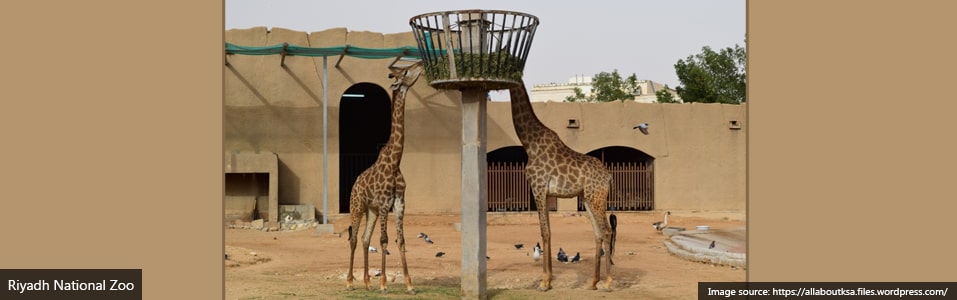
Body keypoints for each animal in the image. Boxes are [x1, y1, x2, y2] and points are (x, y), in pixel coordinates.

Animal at [342, 60, 420, 296]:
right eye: (406, 71)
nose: (421, 64)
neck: (395, 162)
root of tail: (355, 184)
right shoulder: (386, 204)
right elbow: (384, 240)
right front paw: (384, 284)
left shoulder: (399, 203)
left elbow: (400, 240)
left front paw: (409, 285)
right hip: (357, 206)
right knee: (354, 238)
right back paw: (350, 282)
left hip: (371, 211)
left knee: (365, 238)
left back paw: (367, 282)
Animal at [508, 79, 620, 290]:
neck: (530, 143)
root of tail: (608, 176)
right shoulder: (545, 192)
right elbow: (549, 232)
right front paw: (549, 279)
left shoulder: (538, 187)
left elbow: (544, 232)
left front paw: (544, 281)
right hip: (588, 198)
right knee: (598, 233)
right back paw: (593, 282)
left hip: (596, 197)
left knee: (607, 230)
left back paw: (609, 281)